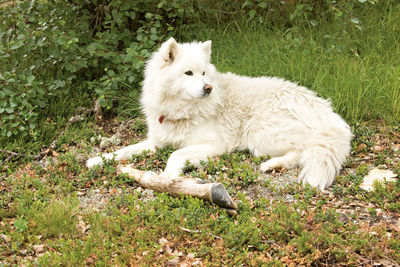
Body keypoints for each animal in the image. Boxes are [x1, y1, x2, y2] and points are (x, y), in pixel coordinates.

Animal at [86, 38, 350, 192]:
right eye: (188, 73)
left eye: (204, 73)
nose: (208, 88)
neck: (182, 110)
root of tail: (328, 113)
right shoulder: (156, 141)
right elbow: (124, 150)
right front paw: (97, 160)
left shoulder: (214, 145)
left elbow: (176, 154)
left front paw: (168, 177)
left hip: (259, 132)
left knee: (302, 150)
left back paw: (272, 164)